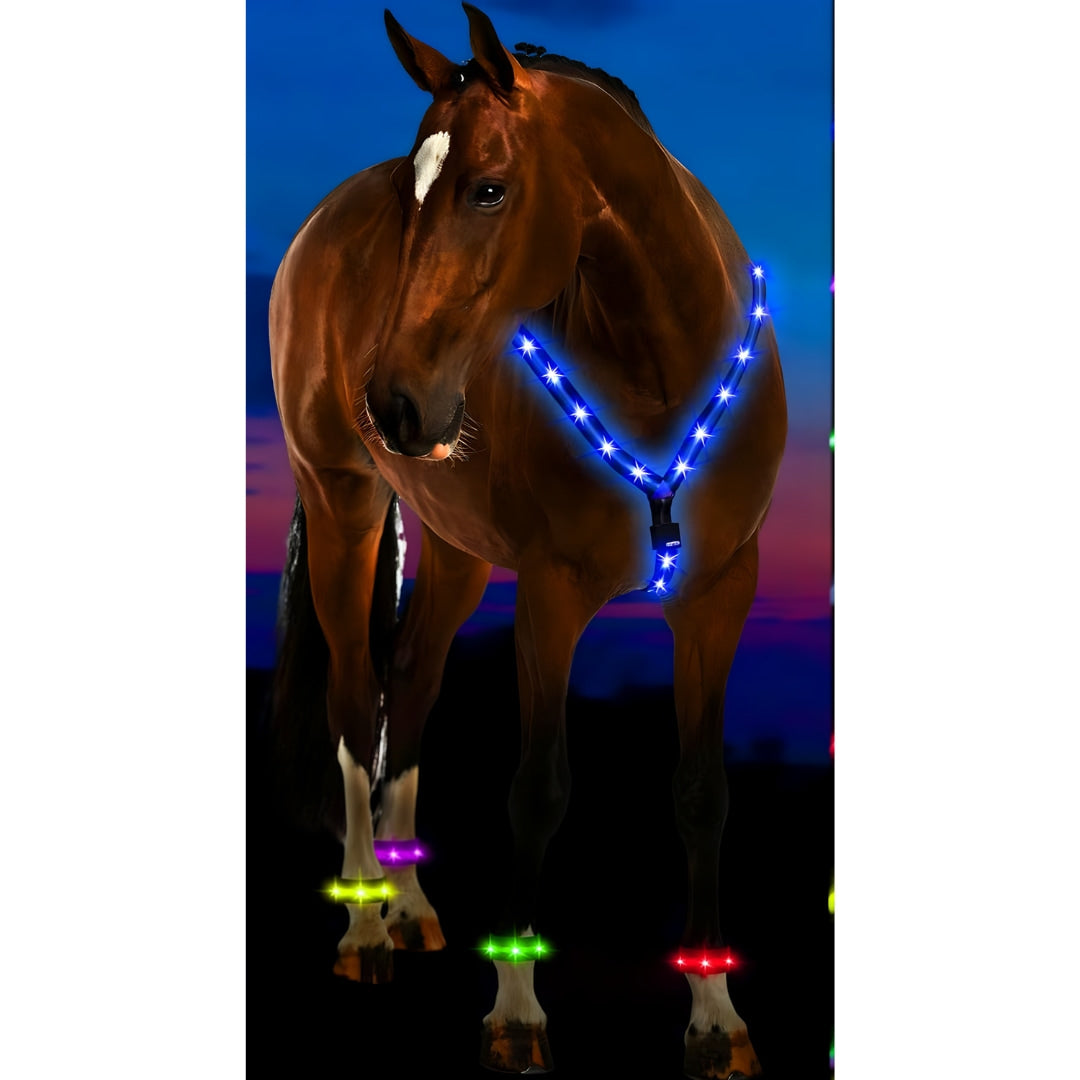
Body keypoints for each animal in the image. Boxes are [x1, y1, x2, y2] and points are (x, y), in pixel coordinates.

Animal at [269, 5, 786, 1077]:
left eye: (489, 188)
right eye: (410, 195)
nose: (394, 404)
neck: (659, 372)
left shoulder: (720, 593)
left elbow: (702, 791)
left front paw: (716, 1016)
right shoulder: (553, 595)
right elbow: (538, 789)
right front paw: (515, 1010)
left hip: (459, 547)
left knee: (412, 680)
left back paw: (410, 904)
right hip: (342, 505)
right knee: (355, 701)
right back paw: (366, 926)